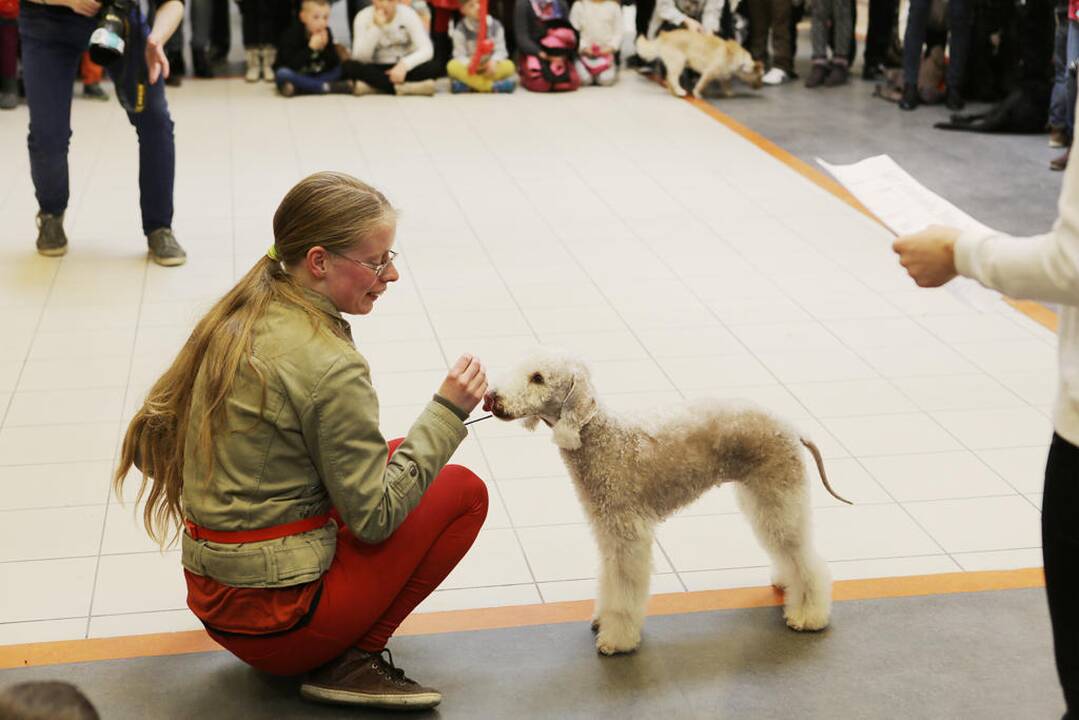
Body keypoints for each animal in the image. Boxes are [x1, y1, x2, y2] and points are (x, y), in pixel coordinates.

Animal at [485, 349, 845, 660]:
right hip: (761, 497)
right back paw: (786, 582)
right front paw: (603, 619)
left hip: (778, 494)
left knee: (805, 560)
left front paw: (617, 640)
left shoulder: (627, 534)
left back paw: (808, 615)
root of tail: (793, 428)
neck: (602, 439)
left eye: (538, 378)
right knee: (788, 552)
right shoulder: (608, 532)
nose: (491, 397)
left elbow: (625, 589)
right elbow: (609, 581)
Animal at [634, 29, 763, 98]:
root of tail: (664, 36)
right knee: (672, 78)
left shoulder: (723, 74)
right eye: (759, 77)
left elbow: (726, 82)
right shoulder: (709, 73)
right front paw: (697, 93)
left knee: (669, 78)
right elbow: (701, 84)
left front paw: (729, 92)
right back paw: (680, 91)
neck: (740, 60)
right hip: (678, 63)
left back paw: (673, 91)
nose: (760, 87)